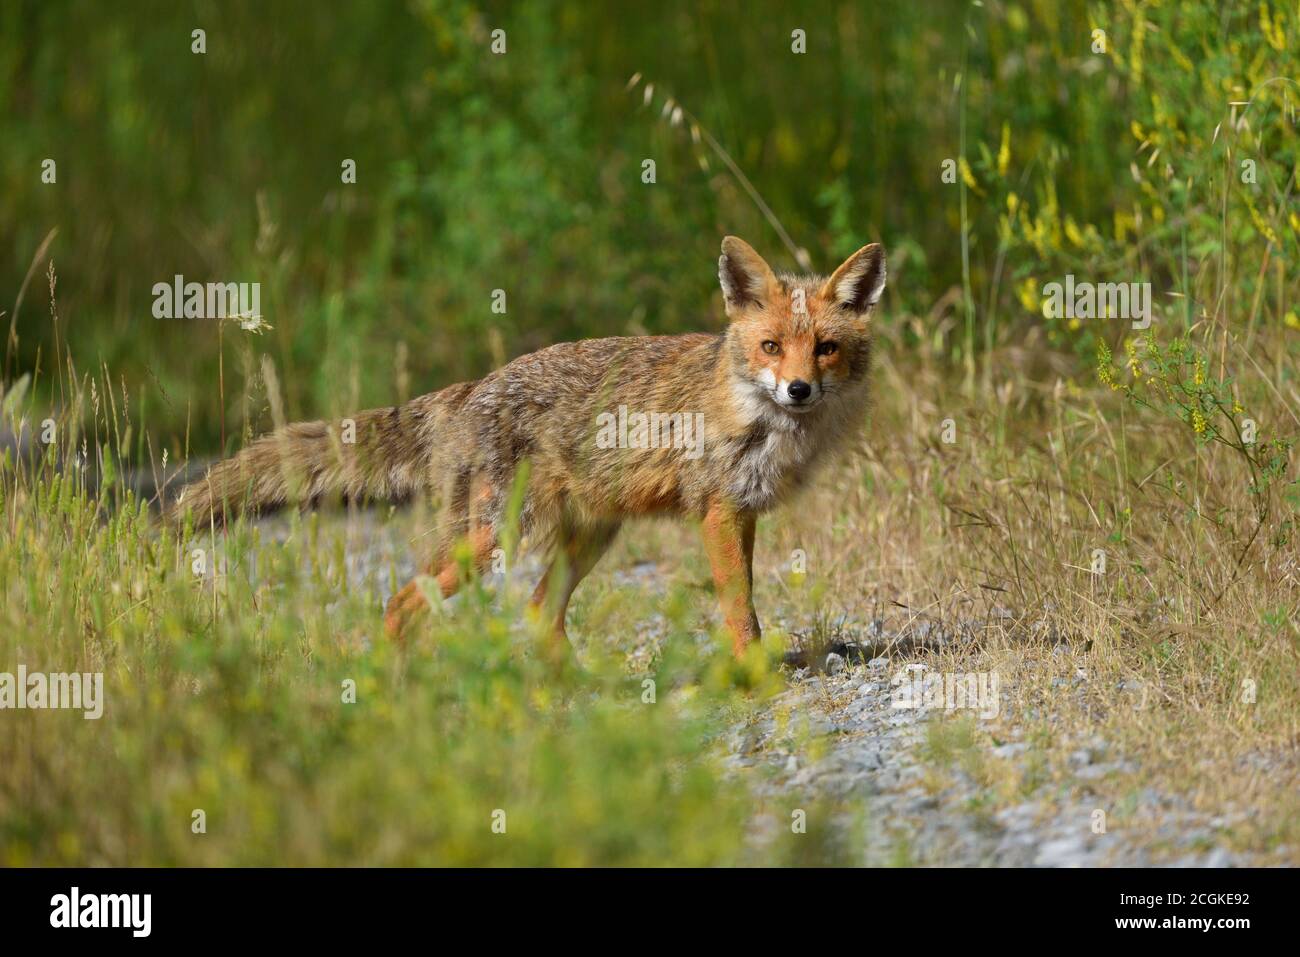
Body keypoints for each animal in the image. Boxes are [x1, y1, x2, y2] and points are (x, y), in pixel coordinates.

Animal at [172, 236, 886, 658]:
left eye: (825, 348)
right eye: (771, 346)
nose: (798, 389)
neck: (760, 420)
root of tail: (465, 389)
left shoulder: (741, 513)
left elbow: (747, 603)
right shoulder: (718, 512)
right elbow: (741, 612)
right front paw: (753, 678)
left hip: (586, 538)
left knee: (540, 612)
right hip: (493, 540)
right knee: (401, 605)